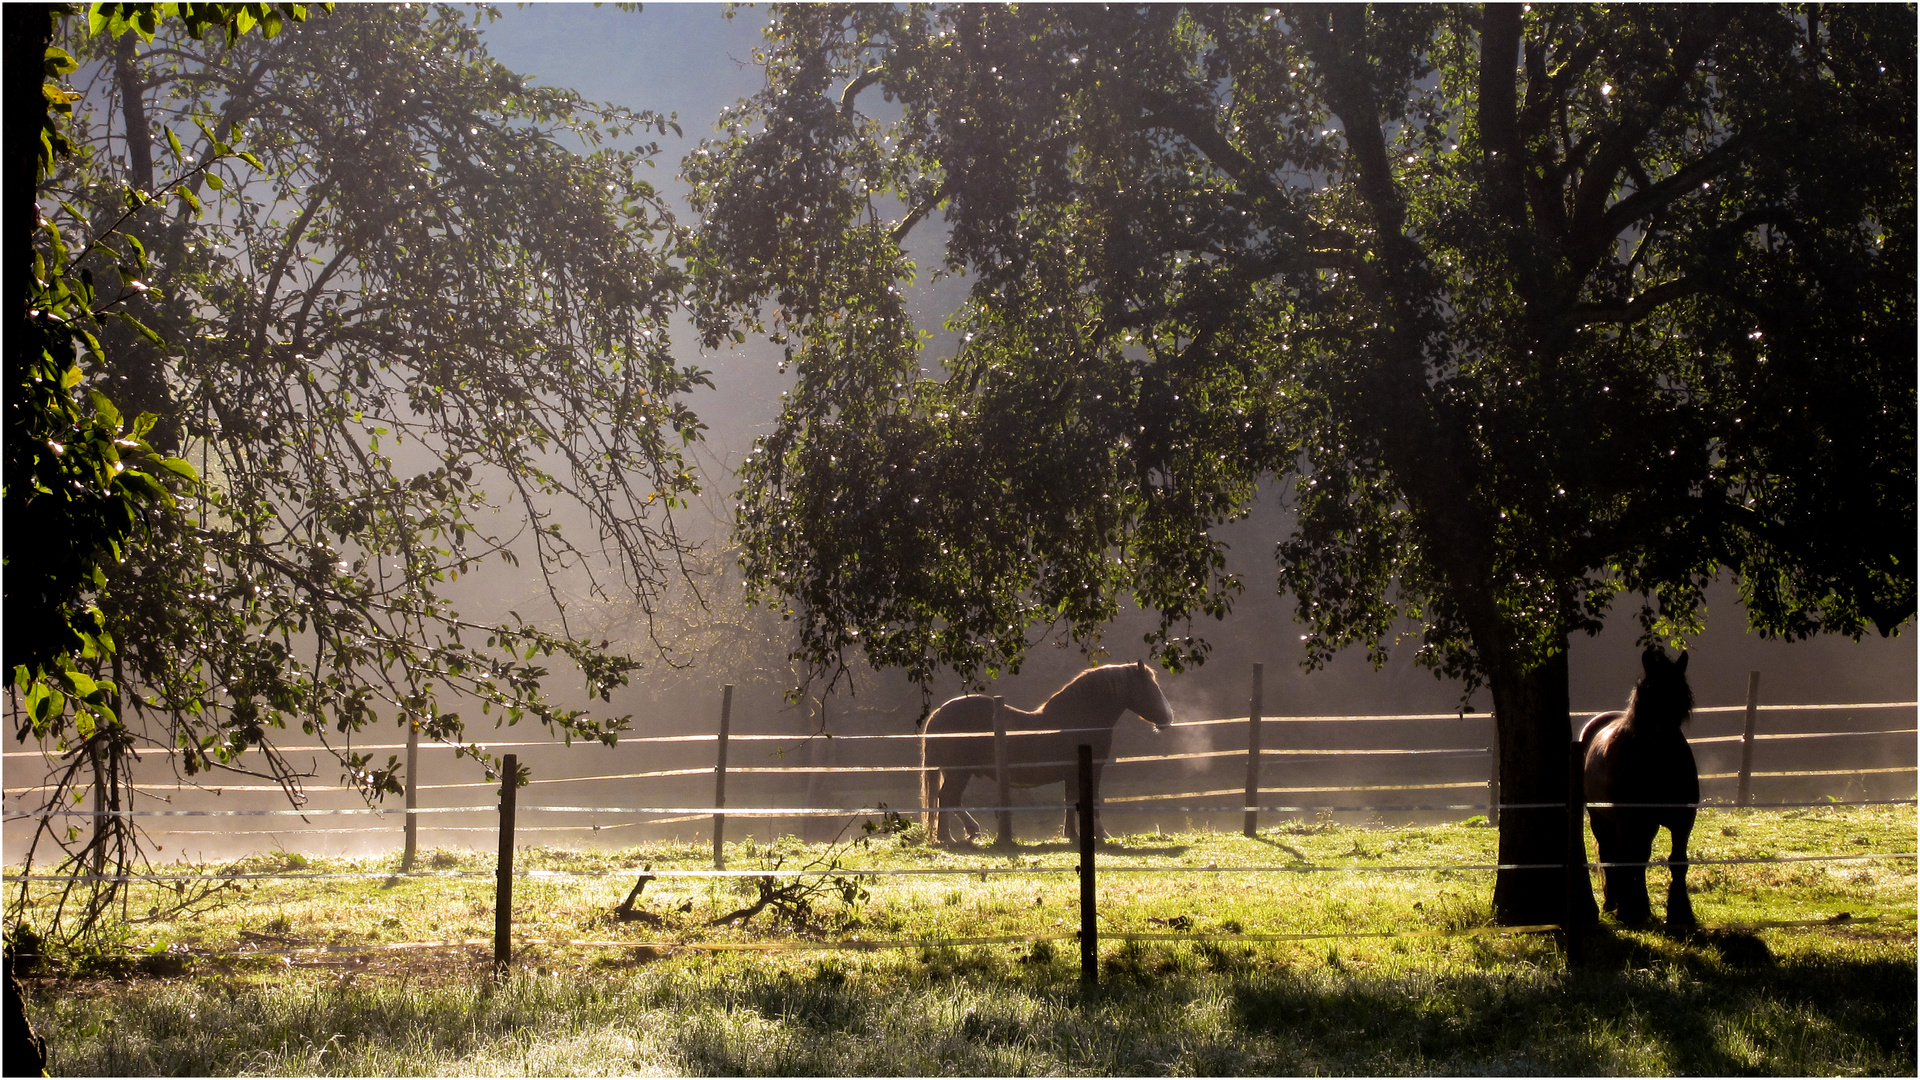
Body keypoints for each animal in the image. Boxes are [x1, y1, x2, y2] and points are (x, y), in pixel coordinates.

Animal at [913, 661, 1167, 845]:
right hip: (959, 772)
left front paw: (1071, 834)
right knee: (947, 798)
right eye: (1150, 688)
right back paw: (950, 836)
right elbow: (1091, 801)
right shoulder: (1092, 770)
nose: (1167, 717)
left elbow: (1070, 801)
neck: (1079, 719)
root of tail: (939, 713)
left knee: (949, 799)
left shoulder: (1071, 774)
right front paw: (1102, 834)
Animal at [1582, 641, 1704, 930]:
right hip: (1601, 820)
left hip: (1646, 824)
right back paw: (1613, 904)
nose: (1668, 746)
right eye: (1650, 695)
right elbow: (1628, 860)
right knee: (1612, 855)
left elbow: (1677, 862)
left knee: (1639, 856)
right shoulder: (1628, 820)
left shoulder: (1683, 820)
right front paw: (1629, 911)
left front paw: (1680, 914)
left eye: (1683, 699)